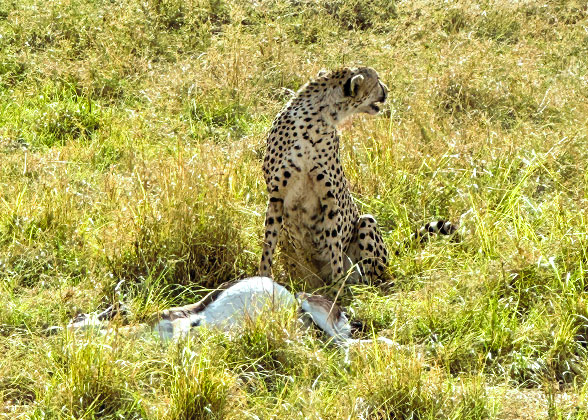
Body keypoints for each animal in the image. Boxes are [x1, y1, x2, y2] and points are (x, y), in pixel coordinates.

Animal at [258, 66, 390, 296]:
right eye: (377, 81)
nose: (387, 90)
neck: (317, 118)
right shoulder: (275, 197)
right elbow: (268, 245)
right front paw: (263, 279)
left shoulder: (330, 200)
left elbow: (334, 246)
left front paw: (338, 289)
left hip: (366, 222)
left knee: (369, 279)